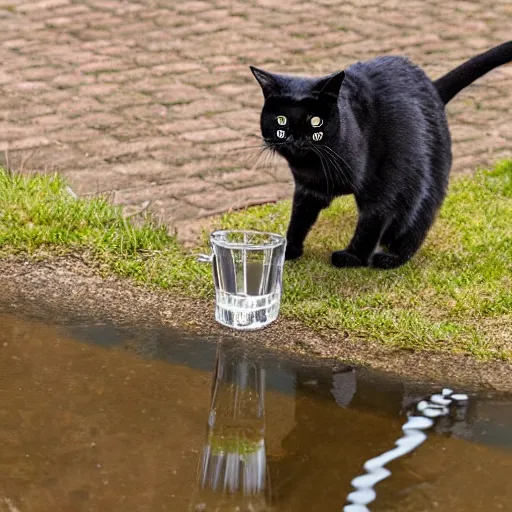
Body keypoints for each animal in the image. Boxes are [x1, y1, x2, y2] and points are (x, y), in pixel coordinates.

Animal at [250, 42, 510, 270]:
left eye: (315, 121)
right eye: (281, 119)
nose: (295, 137)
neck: (318, 168)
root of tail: (432, 87)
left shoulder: (382, 184)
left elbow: (371, 222)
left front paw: (354, 258)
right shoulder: (308, 189)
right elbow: (299, 218)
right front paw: (289, 250)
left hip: (425, 173)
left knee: (419, 218)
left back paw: (391, 257)